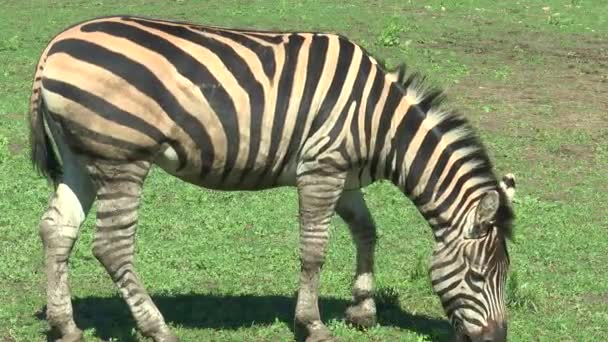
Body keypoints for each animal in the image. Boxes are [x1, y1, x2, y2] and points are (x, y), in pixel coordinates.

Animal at [27, 14, 512, 340]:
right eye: (477, 277)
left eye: (505, 275)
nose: (496, 339)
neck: (382, 124)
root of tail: (56, 44)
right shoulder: (322, 169)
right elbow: (315, 252)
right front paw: (313, 324)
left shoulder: (343, 177)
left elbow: (367, 232)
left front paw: (362, 310)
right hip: (121, 157)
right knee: (111, 245)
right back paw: (156, 327)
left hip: (81, 157)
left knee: (57, 229)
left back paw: (65, 325)